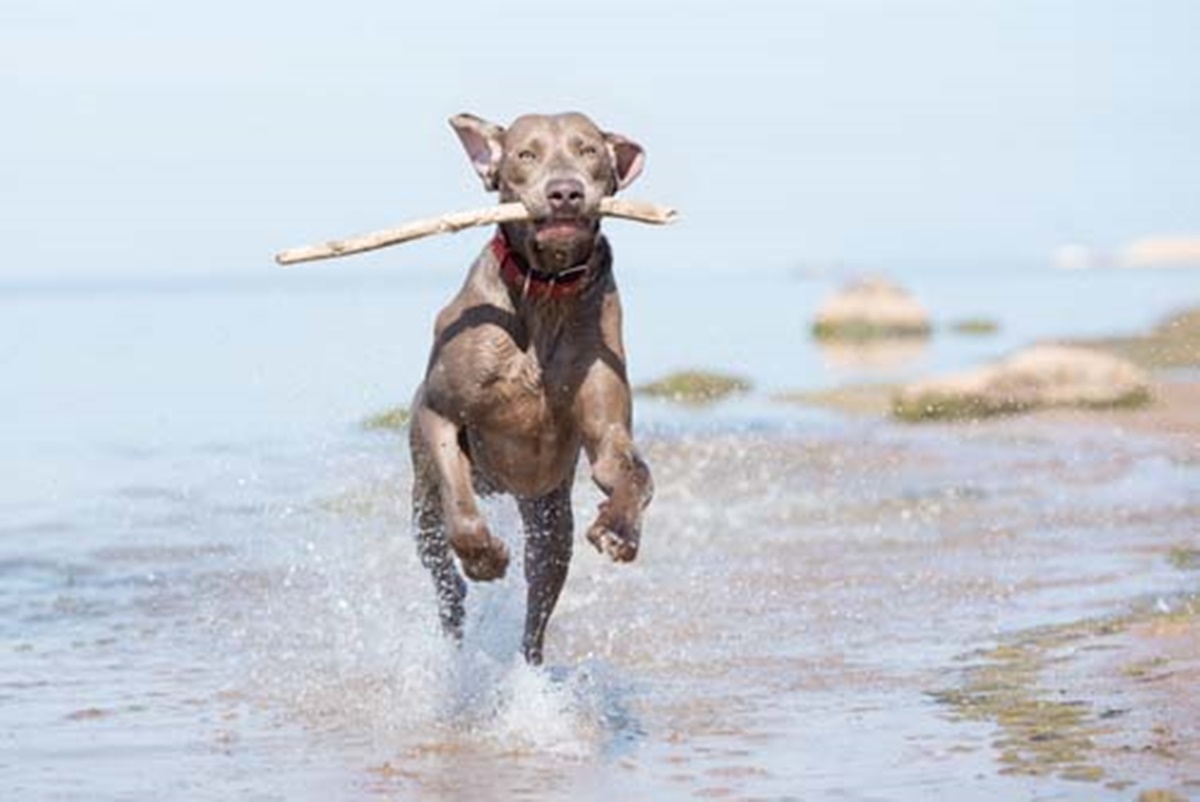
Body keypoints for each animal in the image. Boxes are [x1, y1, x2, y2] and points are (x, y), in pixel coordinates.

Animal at [412, 111, 657, 662]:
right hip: (422, 504)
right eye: (526, 154)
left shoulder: (606, 427)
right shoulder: (439, 413)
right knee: (441, 568)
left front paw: (619, 528)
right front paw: (483, 558)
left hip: (549, 518)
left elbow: (631, 472)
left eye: (589, 150)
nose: (565, 192)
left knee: (539, 598)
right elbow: (461, 507)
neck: (545, 291)